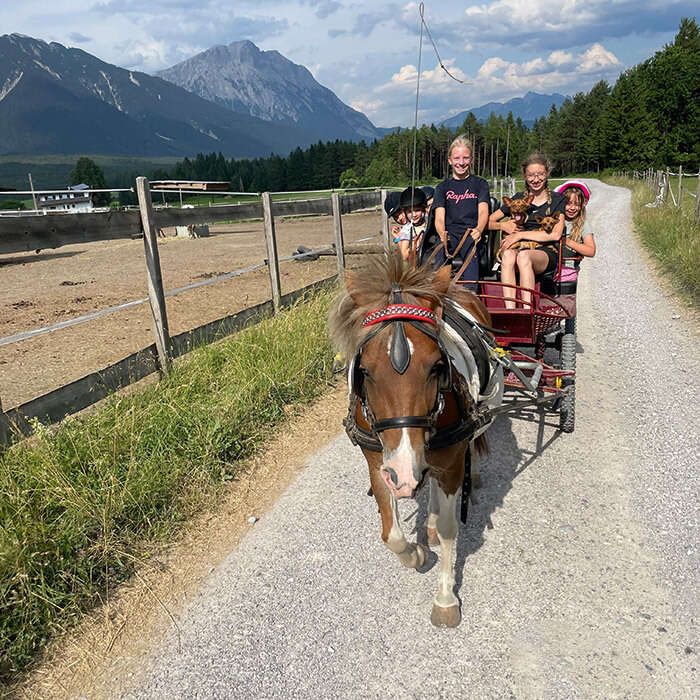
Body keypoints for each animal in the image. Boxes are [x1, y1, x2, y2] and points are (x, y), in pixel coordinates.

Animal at [330, 254, 504, 628]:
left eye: (438, 366)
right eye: (363, 370)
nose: (406, 474)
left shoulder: (448, 463)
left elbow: (453, 528)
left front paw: (445, 597)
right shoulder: (380, 462)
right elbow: (391, 534)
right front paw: (417, 554)